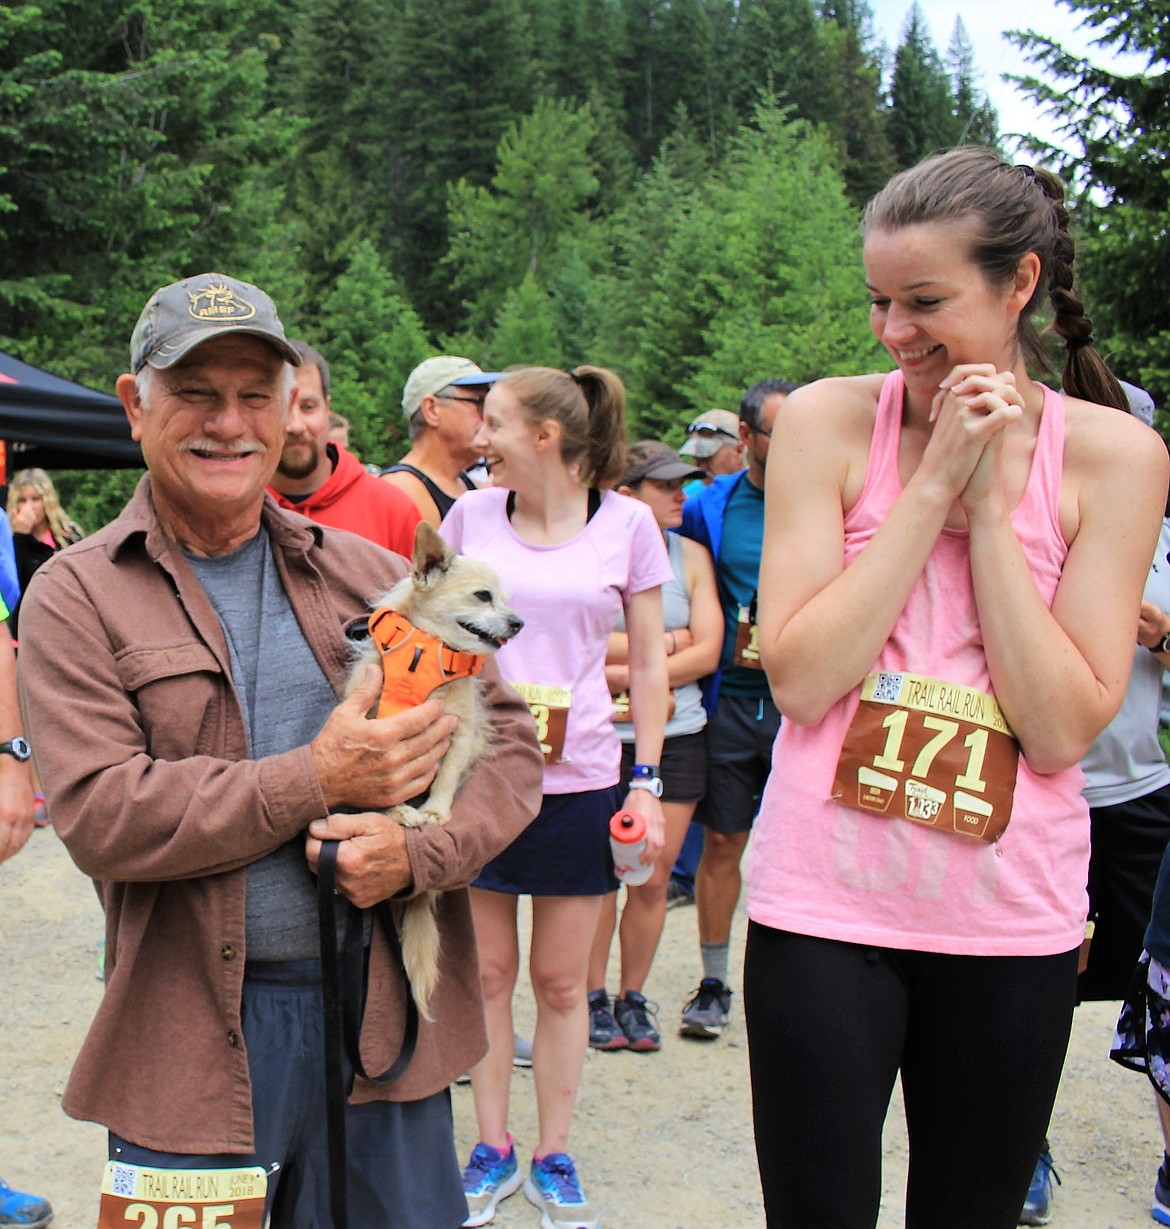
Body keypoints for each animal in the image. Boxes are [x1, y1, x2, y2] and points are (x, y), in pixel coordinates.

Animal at [349, 523, 523, 1012]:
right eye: (483, 596)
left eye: (508, 599)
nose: (518, 623)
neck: (426, 659)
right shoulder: (375, 729)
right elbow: (381, 785)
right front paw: (399, 812)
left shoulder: (460, 734)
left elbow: (445, 777)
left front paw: (435, 812)